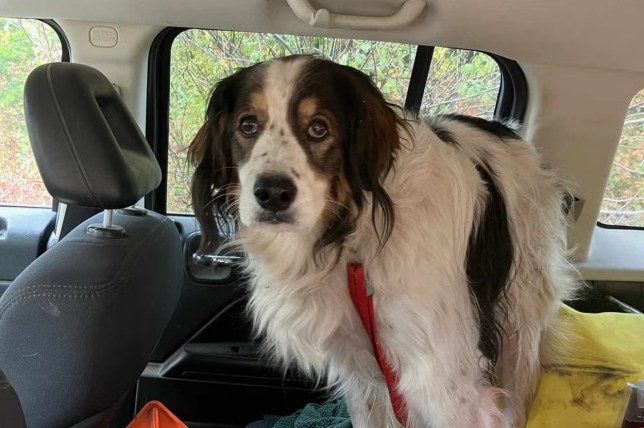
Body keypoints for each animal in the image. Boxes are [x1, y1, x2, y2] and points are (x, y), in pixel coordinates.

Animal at [187, 55, 580, 426]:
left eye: (319, 129)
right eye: (247, 125)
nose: (271, 194)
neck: (355, 243)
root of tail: (510, 131)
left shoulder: (444, 382)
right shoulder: (361, 366)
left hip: (520, 316)